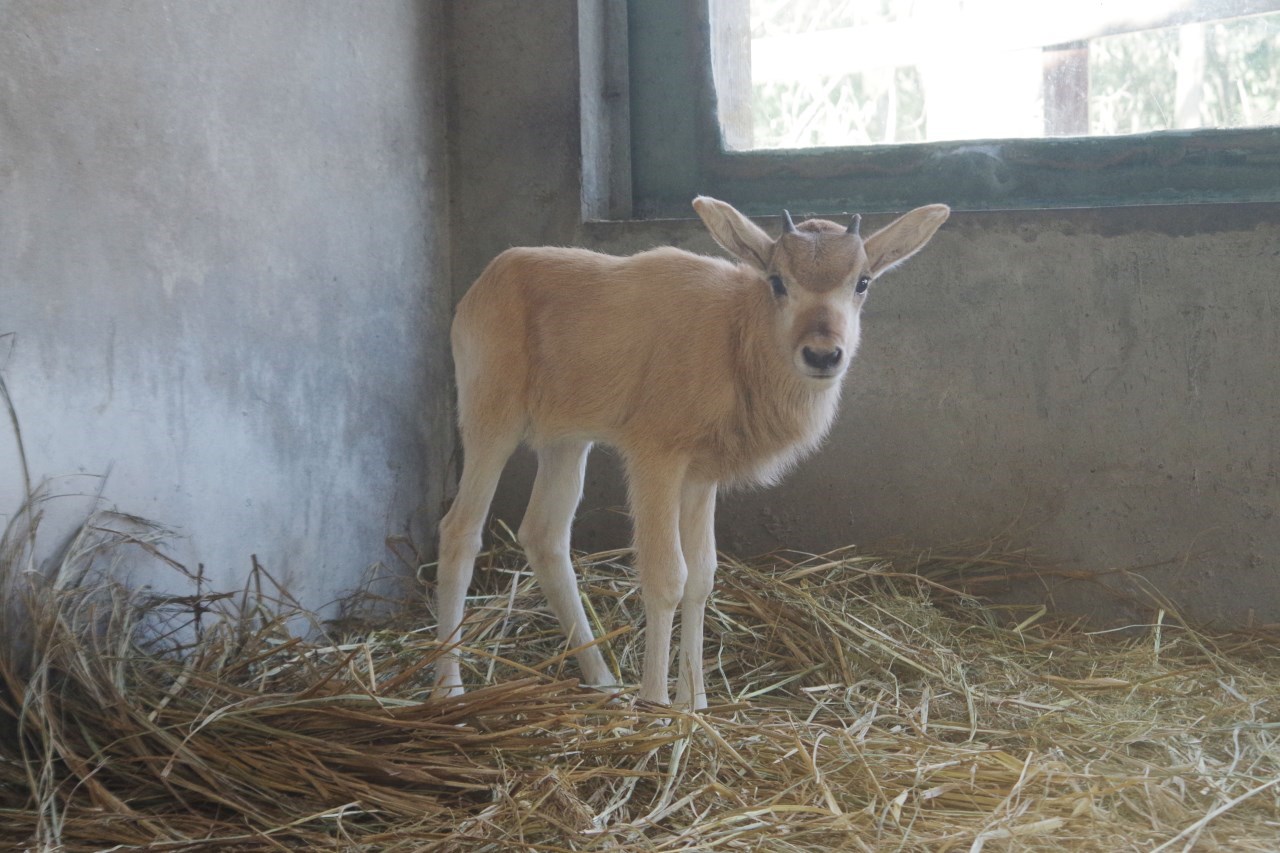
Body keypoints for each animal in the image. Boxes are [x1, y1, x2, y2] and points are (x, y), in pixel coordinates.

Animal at [435, 195, 947, 706]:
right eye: (778, 280)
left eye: (862, 281)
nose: (822, 355)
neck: (734, 332)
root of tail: (487, 282)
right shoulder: (656, 458)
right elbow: (667, 576)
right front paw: (658, 704)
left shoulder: (701, 476)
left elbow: (701, 577)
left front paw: (694, 702)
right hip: (490, 421)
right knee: (460, 530)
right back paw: (449, 687)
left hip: (566, 442)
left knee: (545, 535)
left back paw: (603, 680)